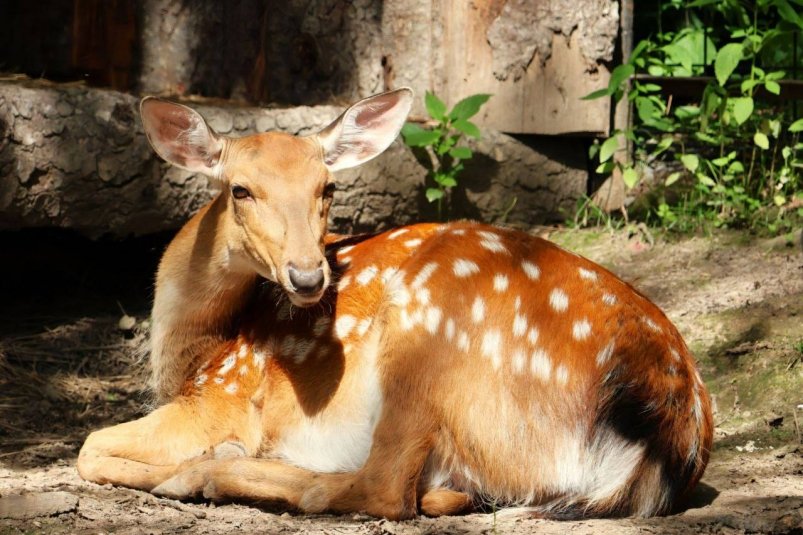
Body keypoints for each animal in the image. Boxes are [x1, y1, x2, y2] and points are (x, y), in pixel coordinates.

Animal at [77, 89, 716, 524]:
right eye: (241, 190)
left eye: (328, 188)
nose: (308, 276)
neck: (196, 348)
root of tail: (669, 417)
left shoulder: (221, 395)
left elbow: (89, 448)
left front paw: (194, 462)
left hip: (425, 335)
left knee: (383, 488)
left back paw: (202, 475)